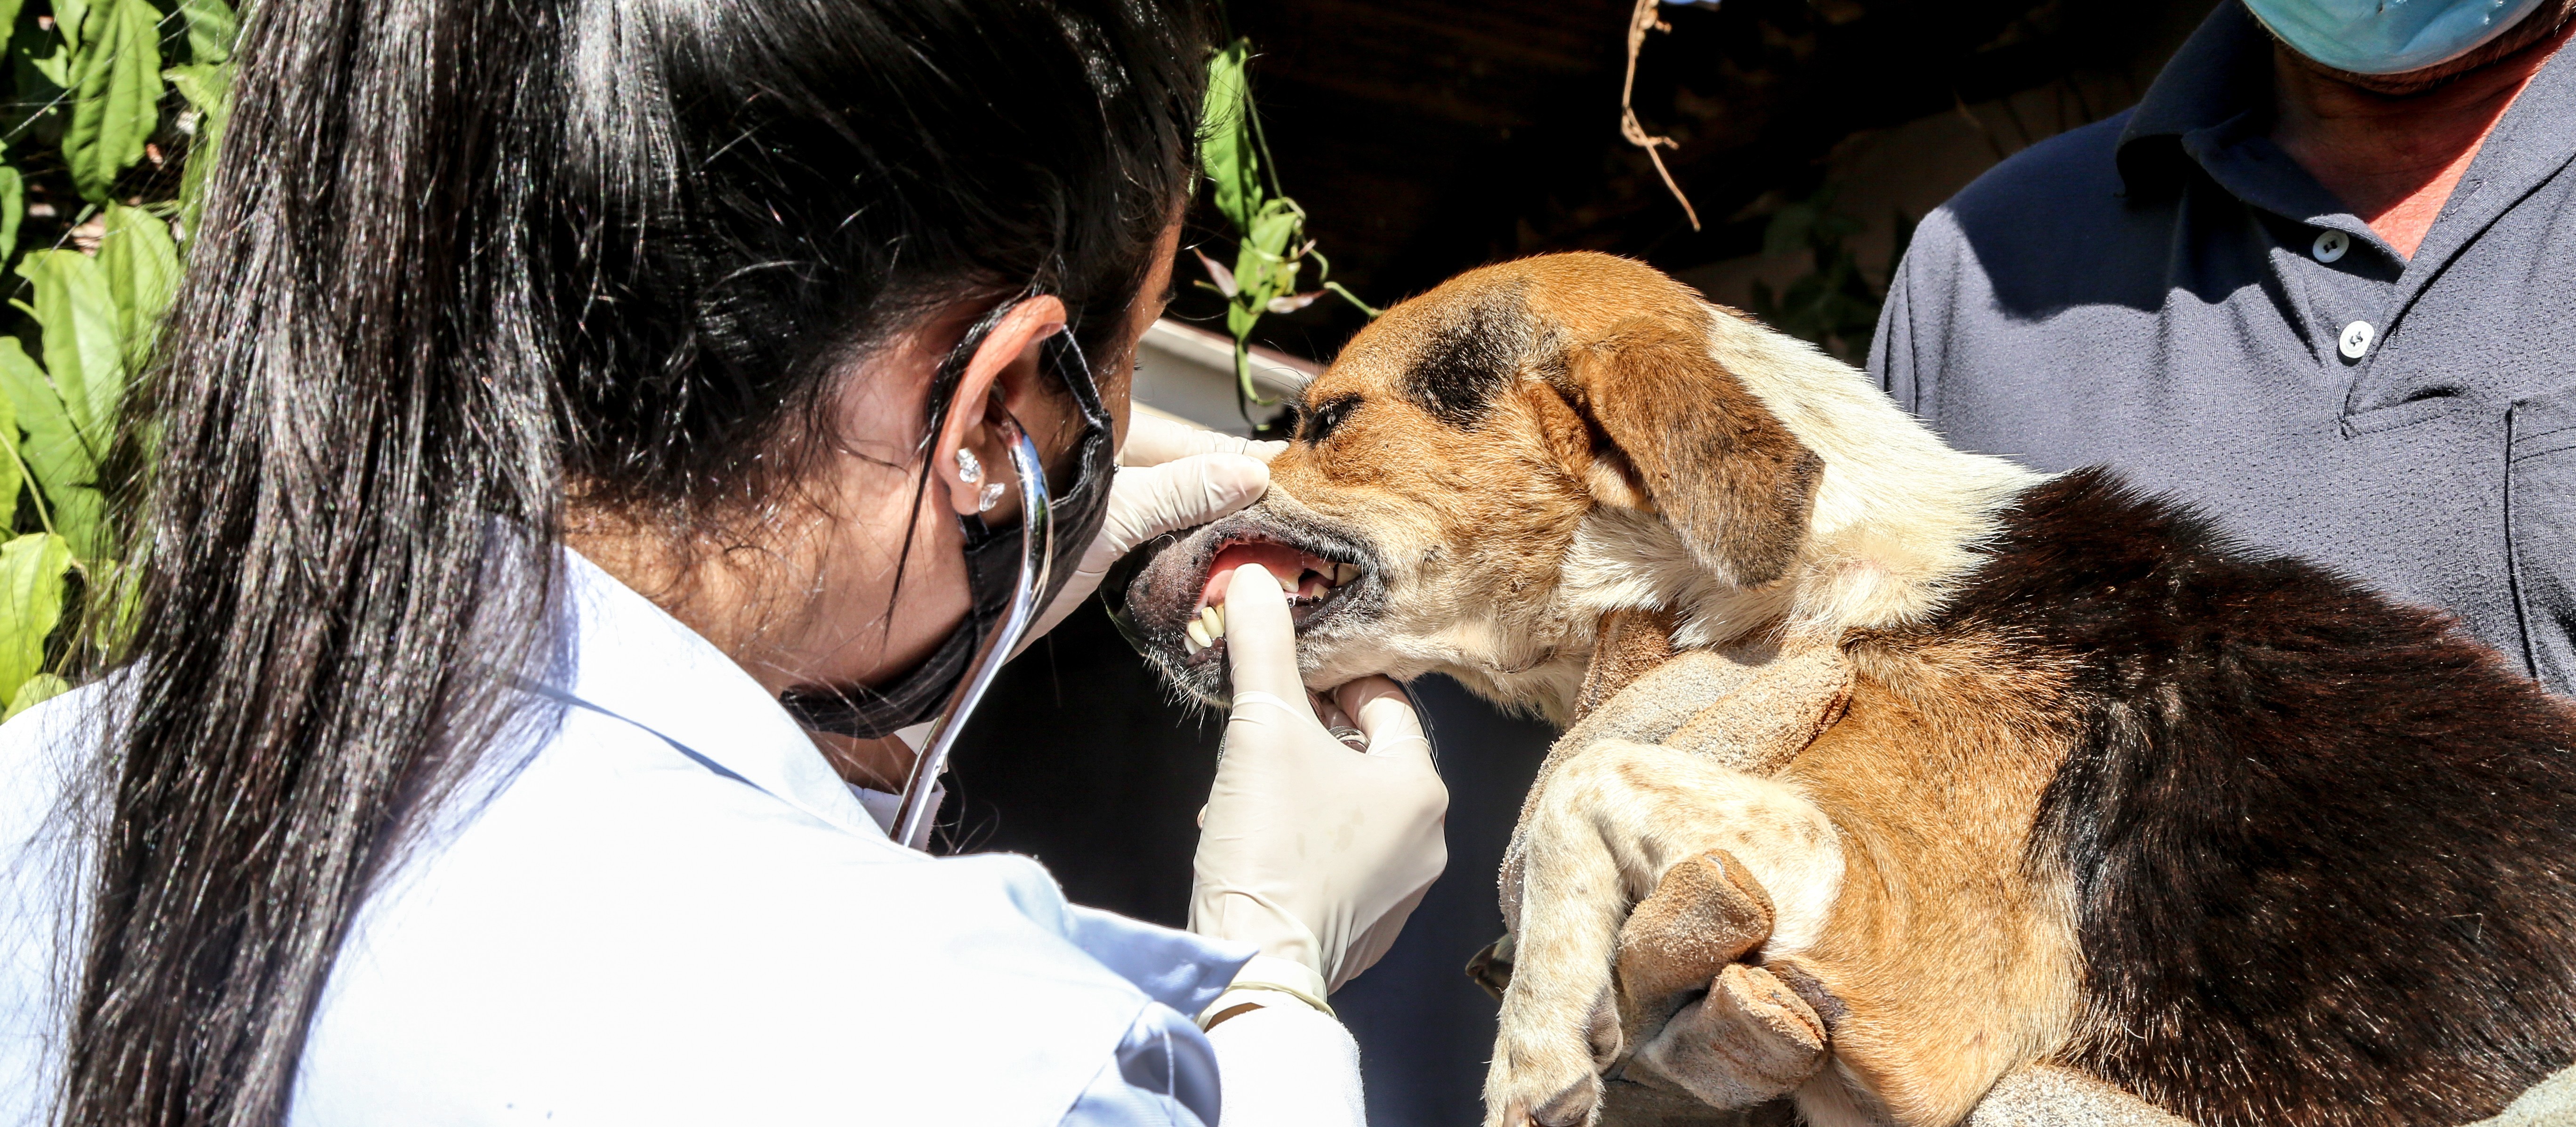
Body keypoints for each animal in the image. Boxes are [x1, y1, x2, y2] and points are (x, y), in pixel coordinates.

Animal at [1118, 253, 2576, 1127]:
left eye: (1326, 420)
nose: (1125, 588)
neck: (1823, 578)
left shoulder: (1914, 946)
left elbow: (1592, 774)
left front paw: (1534, 1041)